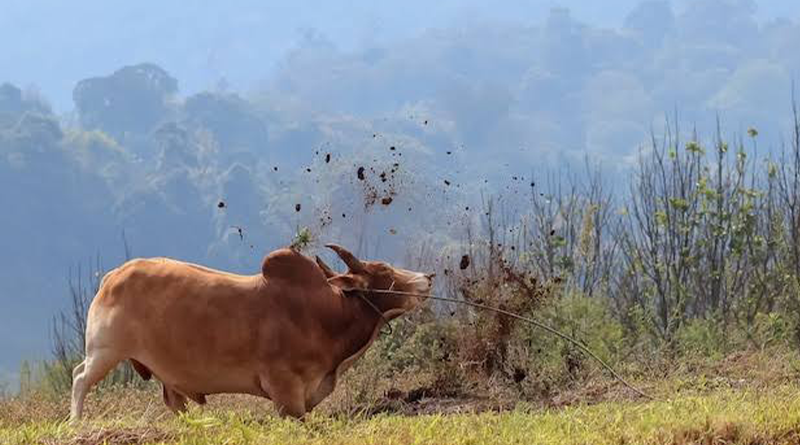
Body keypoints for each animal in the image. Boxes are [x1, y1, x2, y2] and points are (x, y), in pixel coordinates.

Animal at [69, 244, 433, 421]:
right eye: (384, 270)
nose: (427, 278)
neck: (325, 313)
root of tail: (113, 276)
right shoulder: (285, 391)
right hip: (105, 351)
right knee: (79, 378)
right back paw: (76, 423)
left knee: (174, 401)